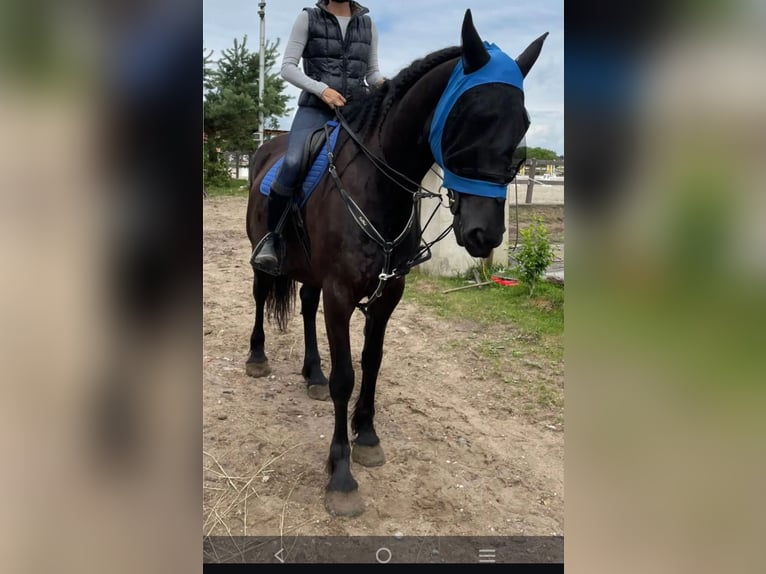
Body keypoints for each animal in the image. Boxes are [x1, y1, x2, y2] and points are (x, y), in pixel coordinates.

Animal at [245, 9, 547, 517]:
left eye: (522, 122)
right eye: (469, 116)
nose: (485, 234)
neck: (377, 186)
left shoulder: (388, 294)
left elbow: (372, 361)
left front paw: (366, 436)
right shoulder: (341, 294)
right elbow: (346, 377)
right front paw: (341, 474)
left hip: (312, 276)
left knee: (305, 306)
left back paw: (311, 373)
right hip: (263, 260)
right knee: (261, 295)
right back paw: (257, 357)